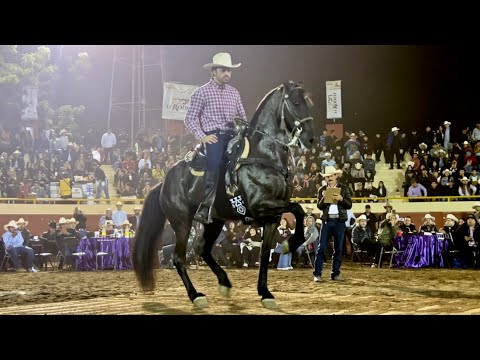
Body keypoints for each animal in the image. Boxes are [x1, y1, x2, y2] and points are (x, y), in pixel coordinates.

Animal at [133, 81, 316, 310]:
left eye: (309, 101)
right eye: (297, 102)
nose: (310, 139)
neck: (263, 155)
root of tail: (163, 183)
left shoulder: (272, 217)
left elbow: (265, 252)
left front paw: (265, 292)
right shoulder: (260, 205)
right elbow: (298, 209)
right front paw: (290, 244)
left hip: (215, 222)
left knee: (202, 249)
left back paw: (224, 282)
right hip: (182, 222)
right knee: (179, 258)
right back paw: (196, 296)